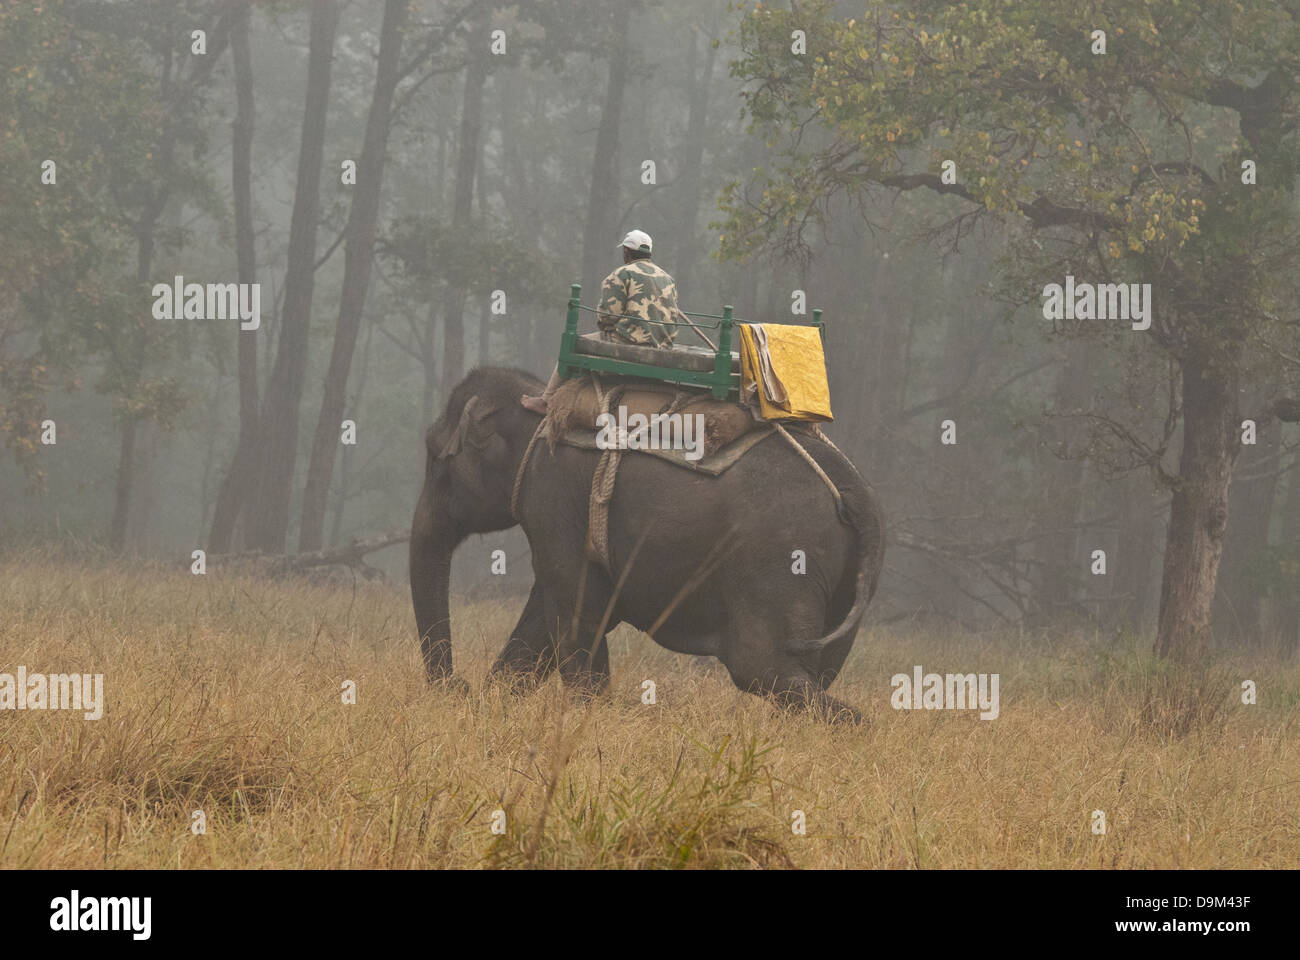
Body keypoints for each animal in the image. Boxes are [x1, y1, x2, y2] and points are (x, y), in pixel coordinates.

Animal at [410, 364, 889, 718]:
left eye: (436, 460)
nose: (457, 685)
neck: (541, 403)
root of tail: (855, 490)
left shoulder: (551, 494)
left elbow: (576, 609)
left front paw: (588, 712)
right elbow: (549, 614)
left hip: (779, 560)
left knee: (762, 666)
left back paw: (855, 726)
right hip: (848, 573)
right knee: (813, 669)